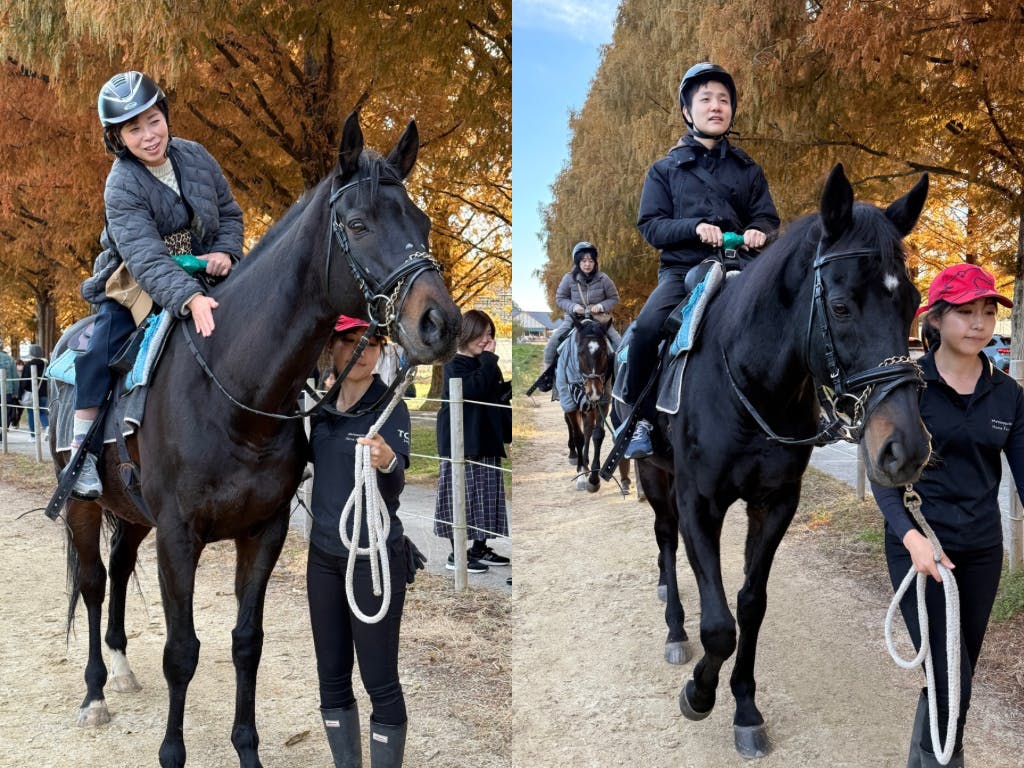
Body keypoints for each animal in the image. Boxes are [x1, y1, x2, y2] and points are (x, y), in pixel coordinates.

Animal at [47, 111, 461, 768]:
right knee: (91, 583)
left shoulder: (262, 532)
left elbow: (247, 641)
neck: (232, 397)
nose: (440, 324)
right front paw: (172, 752)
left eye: (419, 222)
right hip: (84, 507)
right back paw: (95, 693)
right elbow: (182, 652)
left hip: (133, 514)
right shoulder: (179, 538)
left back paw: (120, 664)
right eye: (359, 224)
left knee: (117, 568)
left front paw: (247, 749)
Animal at [556, 315, 630, 493]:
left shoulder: (602, 403)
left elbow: (597, 435)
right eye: (580, 352)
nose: (594, 392)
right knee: (572, 427)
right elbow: (578, 437)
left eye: (603, 352)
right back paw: (575, 456)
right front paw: (581, 477)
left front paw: (594, 478)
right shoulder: (571, 405)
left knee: (588, 430)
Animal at [614, 164, 932, 758]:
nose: (906, 449)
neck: (748, 380)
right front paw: (699, 694)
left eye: (913, 301)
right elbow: (719, 625)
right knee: (665, 542)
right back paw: (674, 629)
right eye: (840, 306)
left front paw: (745, 708)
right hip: (656, 476)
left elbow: (750, 605)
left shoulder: (776, 503)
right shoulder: (700, 503)